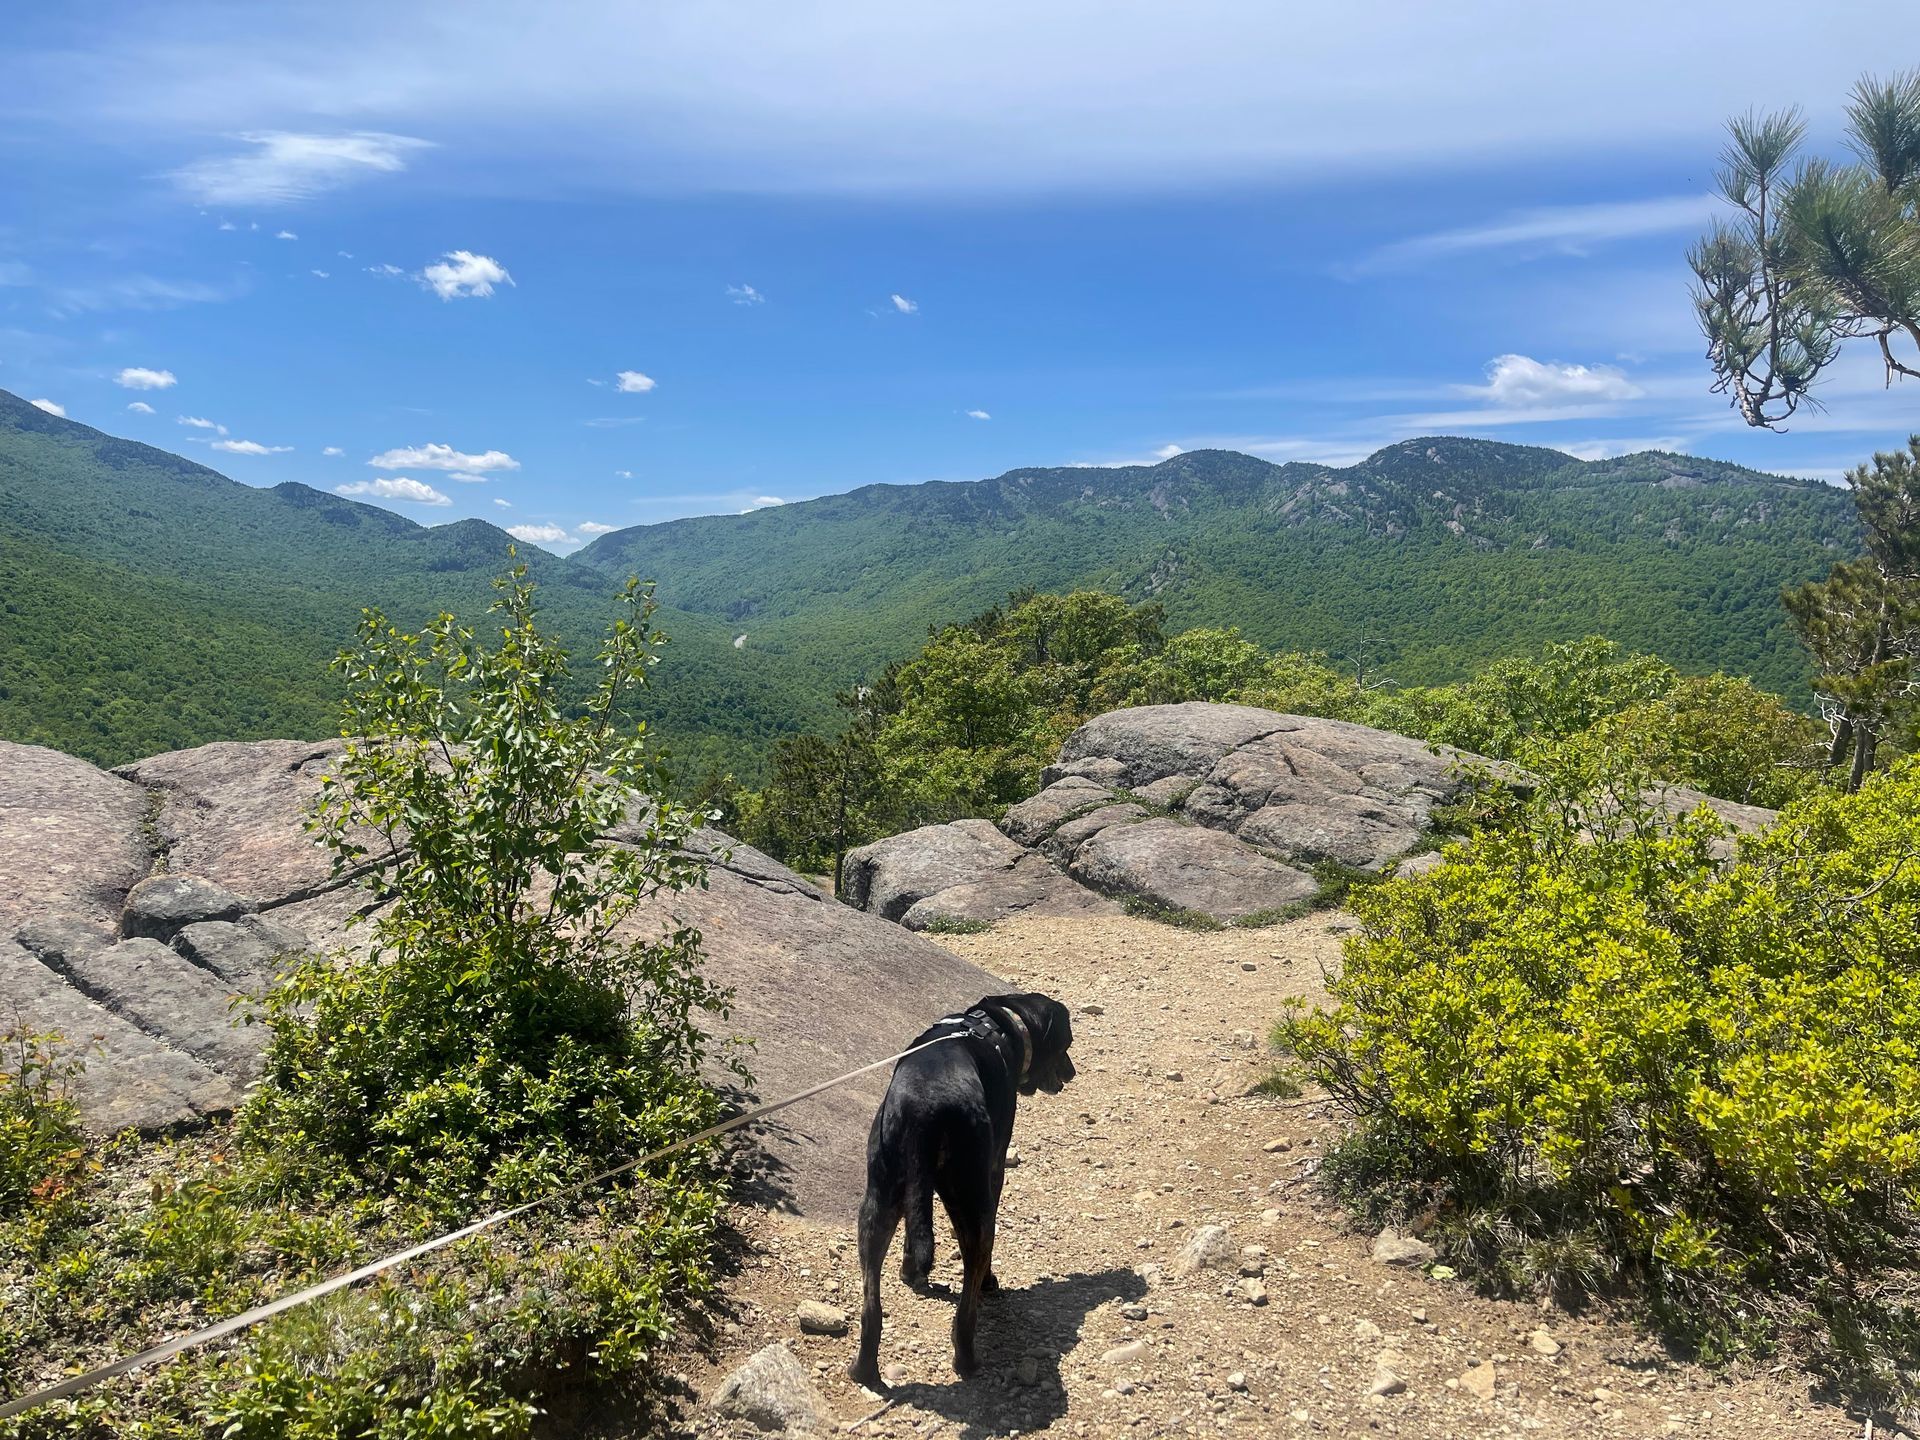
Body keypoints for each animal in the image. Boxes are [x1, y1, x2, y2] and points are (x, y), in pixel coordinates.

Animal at [848, 998, 1075, 1390]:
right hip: (975, 1209)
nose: (1072, 1072)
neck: (1003, 1026)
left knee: (871, 1307)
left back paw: (864, 1369)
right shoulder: (995, 1169)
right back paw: (968, 1357)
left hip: (878, 1202)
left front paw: (911, 1273)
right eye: (1066, 1044)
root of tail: (924, 1109)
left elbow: (914, 1232)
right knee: (967, 1303)